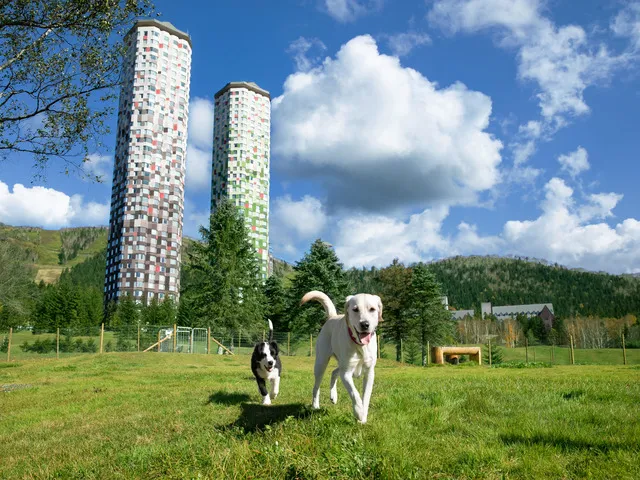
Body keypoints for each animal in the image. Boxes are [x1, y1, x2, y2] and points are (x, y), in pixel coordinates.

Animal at [298, 290, 380, 422]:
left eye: (372, 309)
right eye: (355, 309)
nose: (365, 324)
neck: (359, 345)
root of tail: (332, 316)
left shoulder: (369, 373)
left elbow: (365, 397)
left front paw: (363, 417)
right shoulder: (346, 373)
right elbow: (355, 393)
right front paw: (359, 412)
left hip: (340, 364)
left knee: (334, 372)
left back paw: (333, 396)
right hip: (321, 363)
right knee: (316, 387)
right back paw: (315, 405)